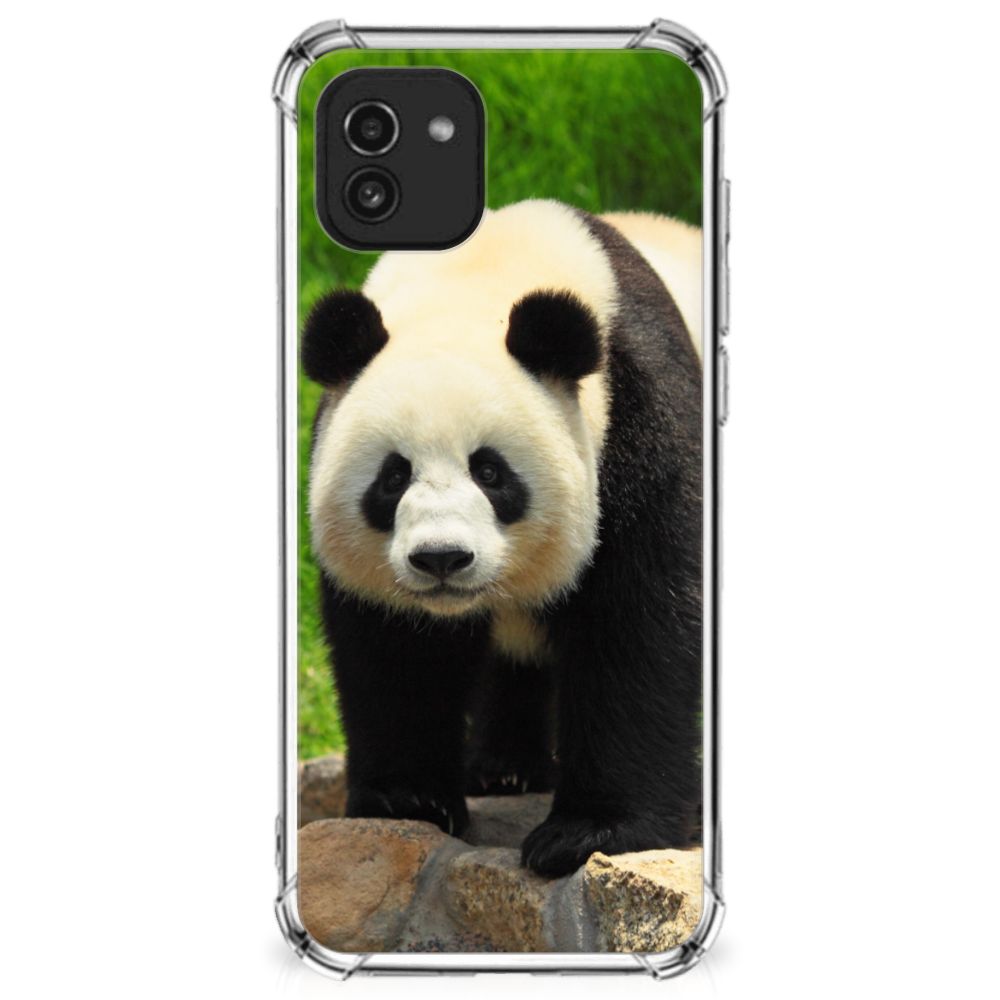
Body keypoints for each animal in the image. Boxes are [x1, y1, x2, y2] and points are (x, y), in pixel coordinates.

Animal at [303, 199, 703, 877]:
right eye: (393, 476)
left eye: (490, 472)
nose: (441, 558)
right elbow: (394, 650)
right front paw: (408, 800)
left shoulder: (641, 419)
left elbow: (640, 623)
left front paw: (589, 832)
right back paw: (504, 769)